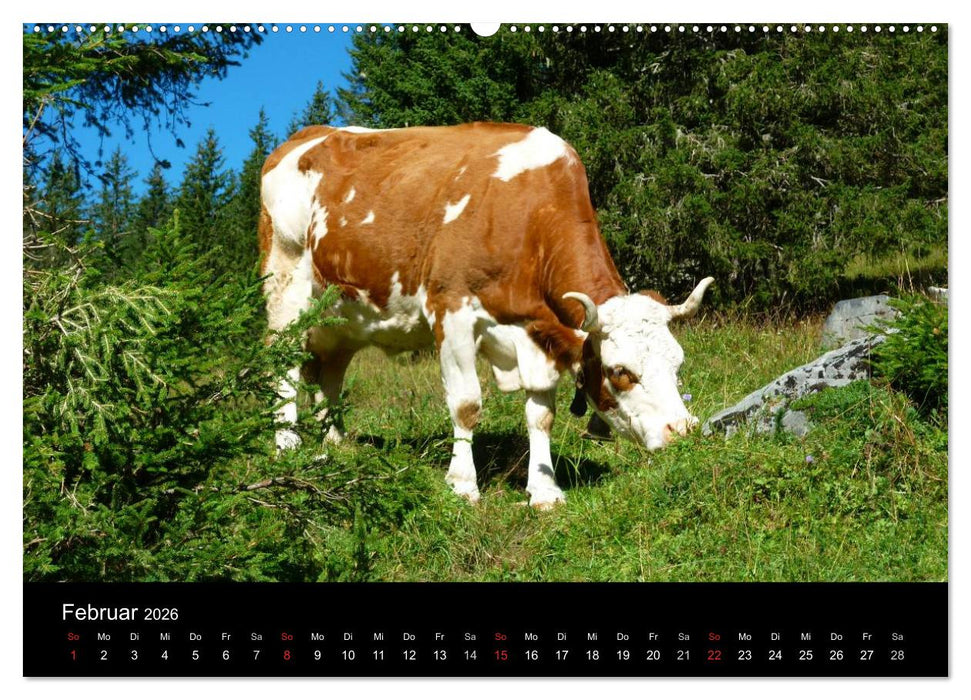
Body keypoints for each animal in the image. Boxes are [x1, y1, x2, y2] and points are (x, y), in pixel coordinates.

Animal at [259, 123, 713, 509]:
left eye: (678, 363)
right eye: (621, 371)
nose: (682, 430)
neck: (527, 216)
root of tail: (303, 136)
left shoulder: (537, 332)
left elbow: (541, 414)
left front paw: (544, 491)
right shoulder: (451, 310)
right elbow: (466, 405)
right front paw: (462, 484)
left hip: (343, 321)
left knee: (329, 375)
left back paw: (335, 444)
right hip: (286, 284)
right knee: (282, 366)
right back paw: (287, 448)